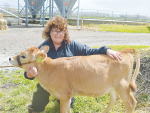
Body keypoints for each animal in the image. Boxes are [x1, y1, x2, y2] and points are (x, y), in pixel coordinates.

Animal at [9, 45, 140, 112]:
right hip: (113, 87)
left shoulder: (64, 95)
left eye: (23, 56)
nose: (10, 58)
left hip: (122, 85)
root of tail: (124, 51)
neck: (50, 69)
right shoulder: (67, 96)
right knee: (114, 99)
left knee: (131, 103)